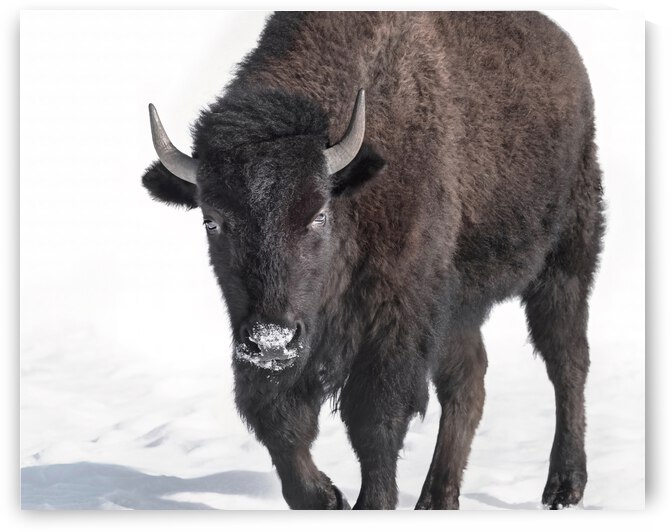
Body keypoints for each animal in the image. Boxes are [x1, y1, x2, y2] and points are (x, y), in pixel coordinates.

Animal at [141, 12, 604, 510]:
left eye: (318, 214)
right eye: (212, 220)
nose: (271, 340)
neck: (353, 188)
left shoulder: (396, 317)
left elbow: (375, 418)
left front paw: (370, 503)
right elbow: (277, 419)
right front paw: (326, 497)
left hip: (565, 264)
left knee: (567, 363)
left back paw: (563, 487)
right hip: (459, 305)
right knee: (468, 381)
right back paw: (436, 498)